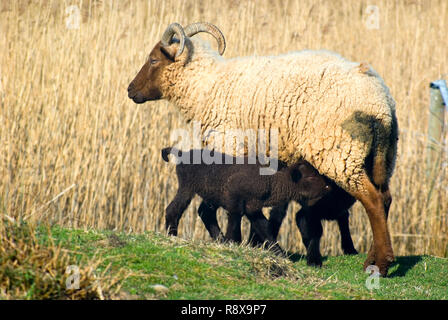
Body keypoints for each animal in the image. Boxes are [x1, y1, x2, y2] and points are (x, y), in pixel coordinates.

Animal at [163, 146, 330, 254]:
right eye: (310, 177)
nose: (327, 187)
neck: (270, 181)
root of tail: (182, 153)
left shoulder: (253, 209)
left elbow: (265, 229)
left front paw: (279, 252)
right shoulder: (235, 203)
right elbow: (234, 226)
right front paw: (233, 243)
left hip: (210, 196)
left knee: (205, 213)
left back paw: (219, 239)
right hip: (186, 187)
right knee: (173, 209)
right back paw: (172, 234)